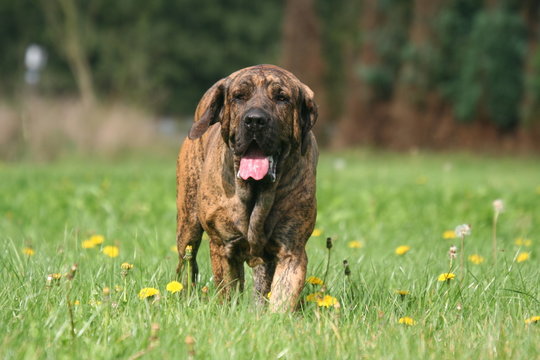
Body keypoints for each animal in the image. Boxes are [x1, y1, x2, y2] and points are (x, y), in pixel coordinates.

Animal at [177, 64, 318, 312]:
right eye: (239, 97)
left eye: (282, 98)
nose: (254, 120)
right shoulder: (223, 246)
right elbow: (228, 292)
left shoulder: (292, 250)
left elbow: (282, 297)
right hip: (188, 225)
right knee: (186, 263)